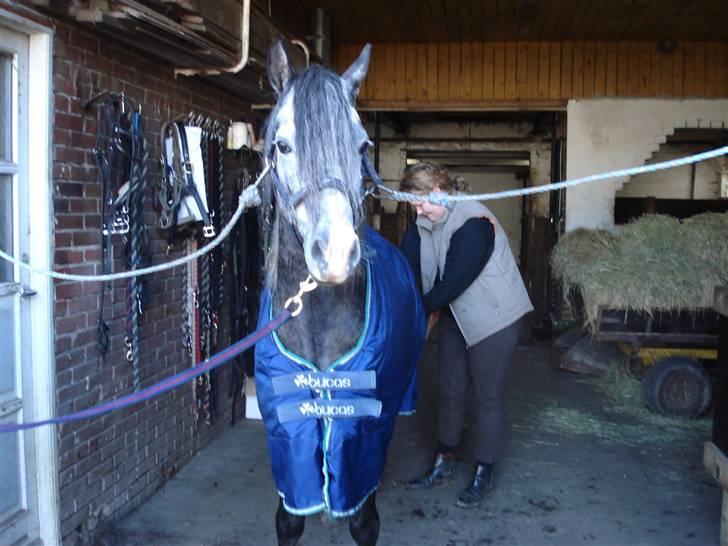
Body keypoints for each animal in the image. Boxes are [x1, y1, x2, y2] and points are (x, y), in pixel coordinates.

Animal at [253, 40, 426, 546]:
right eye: (283, 145)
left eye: (363, 145)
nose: (334, 253)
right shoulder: (287, 429)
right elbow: (289, 517)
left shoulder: (364, 427)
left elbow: (364, 517)